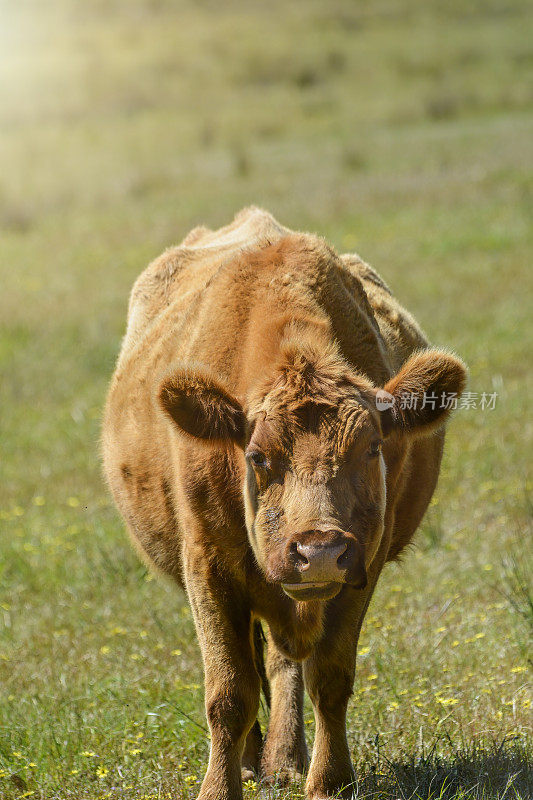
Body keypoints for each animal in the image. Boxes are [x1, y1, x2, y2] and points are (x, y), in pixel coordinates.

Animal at [102, 208, 464, 800]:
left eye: (372, 448)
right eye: (257, 456)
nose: (318, 551)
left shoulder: (361, 567)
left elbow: (330, 678)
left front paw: (330, 781)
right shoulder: (208, 566)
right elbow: (229, 692)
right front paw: (219, 786)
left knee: (282, 666)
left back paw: (287, 759)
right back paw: (254, 761)